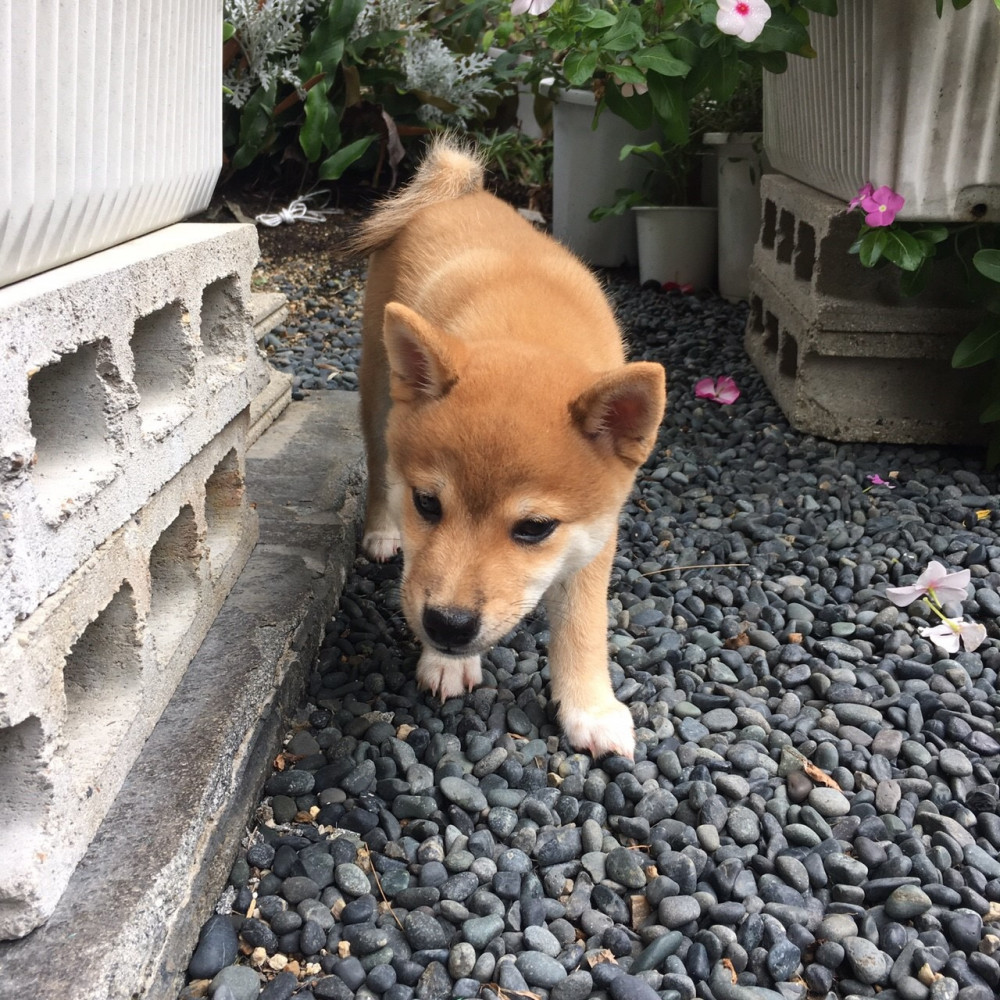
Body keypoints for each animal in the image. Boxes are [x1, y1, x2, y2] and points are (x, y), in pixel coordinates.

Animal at [352, 135, 664, 756]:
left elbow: (584, 624)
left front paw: (590, 706)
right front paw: (446, 662)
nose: (447, 626)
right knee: (377, 464)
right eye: (426, 504)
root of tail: (459, 191)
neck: (527, 329)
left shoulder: (596, 536)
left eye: (535, 528)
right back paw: (380, 529)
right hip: (376, 390)